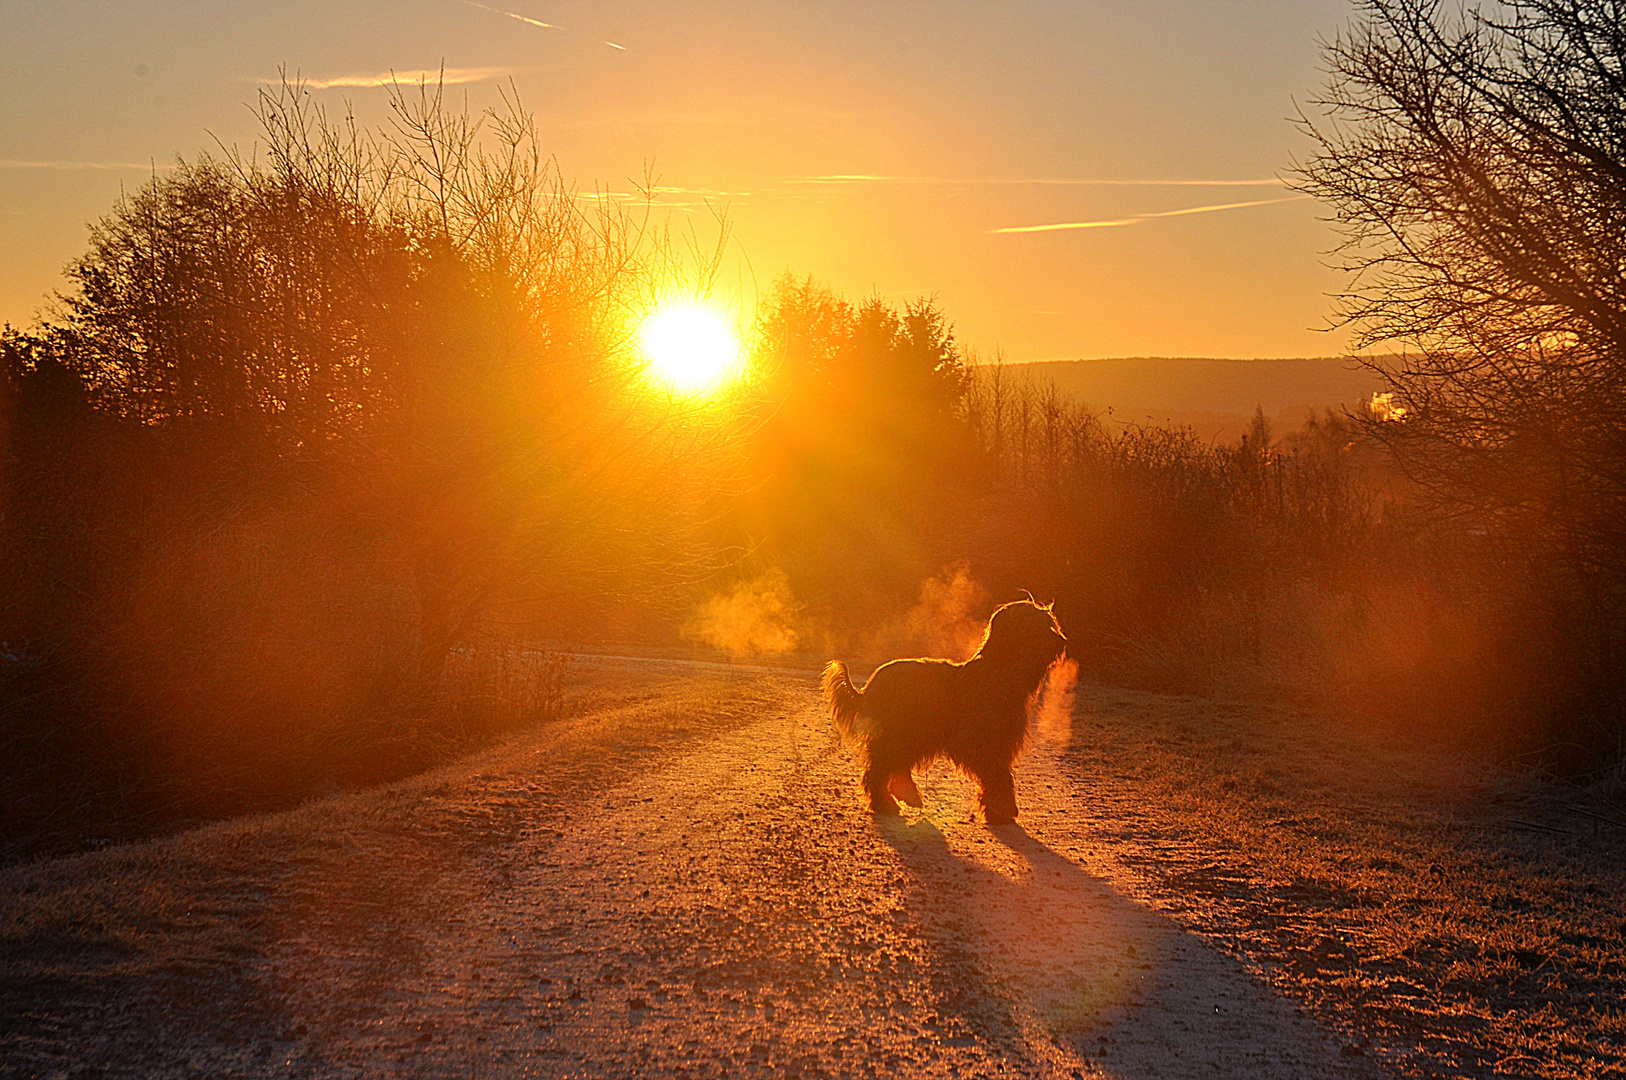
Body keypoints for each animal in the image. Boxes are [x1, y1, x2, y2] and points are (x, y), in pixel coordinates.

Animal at [826, 601, 1066, 823]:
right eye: (1036, 625)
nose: (1062, 641)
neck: (998, 672)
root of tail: (869, 686)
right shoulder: (972, 743)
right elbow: (998, 774)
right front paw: (1004, 809)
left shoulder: (999, 744)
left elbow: (996, 775)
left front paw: (994, 811)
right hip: (898, 734)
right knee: (877, 771)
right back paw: (885, 804)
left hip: (911, 735)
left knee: (896, 767)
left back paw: (908, 795)